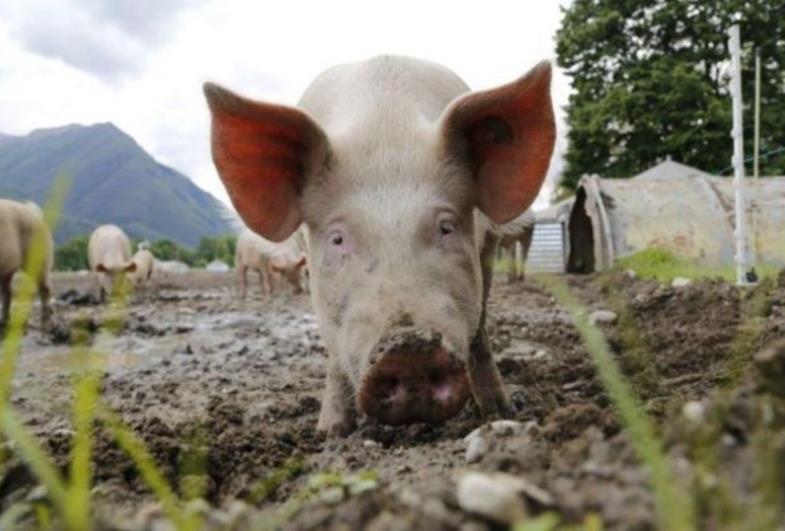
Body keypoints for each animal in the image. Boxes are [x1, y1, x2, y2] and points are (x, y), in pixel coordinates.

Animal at [0, 200, 53, 332]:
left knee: (45, 288)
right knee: (7, 291)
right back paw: (4, 322)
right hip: (7, 268)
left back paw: (46, 326)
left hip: (39, 258)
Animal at [205, 55, 556, 436]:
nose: (408, 349)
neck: (386, 131)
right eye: (337, 238)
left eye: (446, 227)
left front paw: (500, 414)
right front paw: (330, 432)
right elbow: (334, 351)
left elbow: (479, 330)